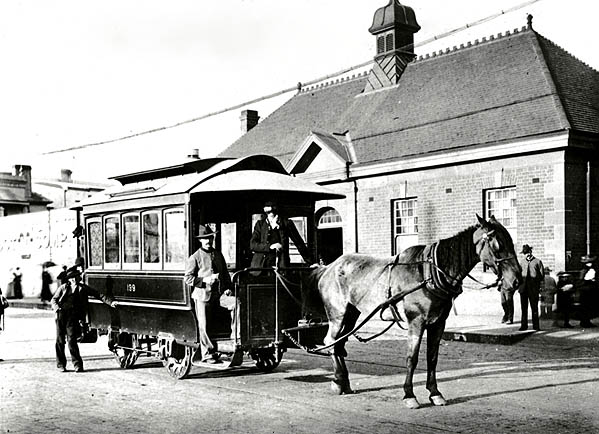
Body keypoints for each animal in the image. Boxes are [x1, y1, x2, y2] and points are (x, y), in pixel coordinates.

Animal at [308, 215, 524, 408]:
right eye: (497, 244)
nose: (516, 280)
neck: (429, 273)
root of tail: (329, 266)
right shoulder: (416, 321)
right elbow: (412, 358)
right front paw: (409, 395)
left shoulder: (438, 322)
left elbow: (432, 358)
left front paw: (435, 393)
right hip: (337, 314)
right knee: (331, 341)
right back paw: (338, 380)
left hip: (352, 314)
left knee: (340, 343)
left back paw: (343, 382)